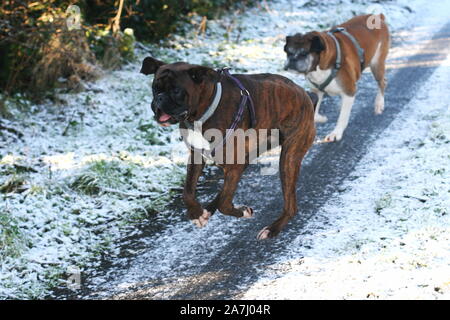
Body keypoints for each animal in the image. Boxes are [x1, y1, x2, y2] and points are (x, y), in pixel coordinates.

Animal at [141, 56, 316, 239]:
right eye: (155, 88)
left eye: (176, 90)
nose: (159, 99)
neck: (204, 110)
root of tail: (305, 94)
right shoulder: (197, 156)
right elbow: (187, 192)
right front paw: (196, 213)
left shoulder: (233, 166)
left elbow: (224, 204)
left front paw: (241, 211)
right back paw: (206, 211)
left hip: (289, 157)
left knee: (291, 206)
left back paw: (272, 229)